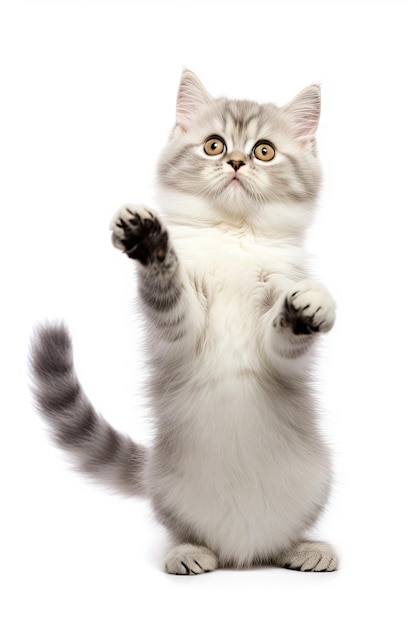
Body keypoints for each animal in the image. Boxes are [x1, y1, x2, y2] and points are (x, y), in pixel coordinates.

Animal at [31, 70, 338, 572]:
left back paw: (305, 549)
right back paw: (190, 552)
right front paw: (152, 243)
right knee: (185, 530)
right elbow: (168, 293)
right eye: (214, 145)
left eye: (264, 151)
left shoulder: (280, 335)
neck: (233, 236)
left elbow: (286, 331)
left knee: (282, 541)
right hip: (167, 490)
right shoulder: (177, 330)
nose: (235, 162)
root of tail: (242, 554)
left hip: (317, 481)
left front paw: (305, 307)